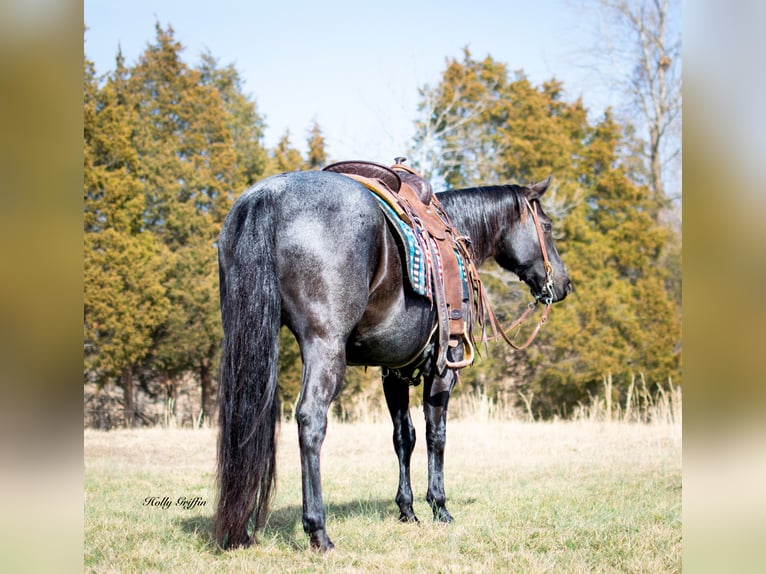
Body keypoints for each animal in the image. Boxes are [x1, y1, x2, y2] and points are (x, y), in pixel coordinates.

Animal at [213, 169, 572, 552]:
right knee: (311, 420)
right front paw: (440, 507)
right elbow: (436, 435)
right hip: (324, 346)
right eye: (547, 226)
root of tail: (270, 194)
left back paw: (240, 532)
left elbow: (404, 437)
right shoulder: (443, 368)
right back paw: (318, 532)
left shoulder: (394, 373)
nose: (563, 285)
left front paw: (407, 510)